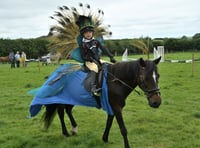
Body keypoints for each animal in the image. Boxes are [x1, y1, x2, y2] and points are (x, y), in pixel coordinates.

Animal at [31, 56, 162, 148]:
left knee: (68, 110)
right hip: (61, 99)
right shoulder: (116, 107)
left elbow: (109, 122)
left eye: (158, 76)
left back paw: (74, 129)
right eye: (144, 78)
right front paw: (127, 146)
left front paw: (105, 138)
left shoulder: (112, 106)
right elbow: (123, 129)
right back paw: (66, 133)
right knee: (61, 113)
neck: (116, 81)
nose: (156, 102)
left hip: (71, 98)